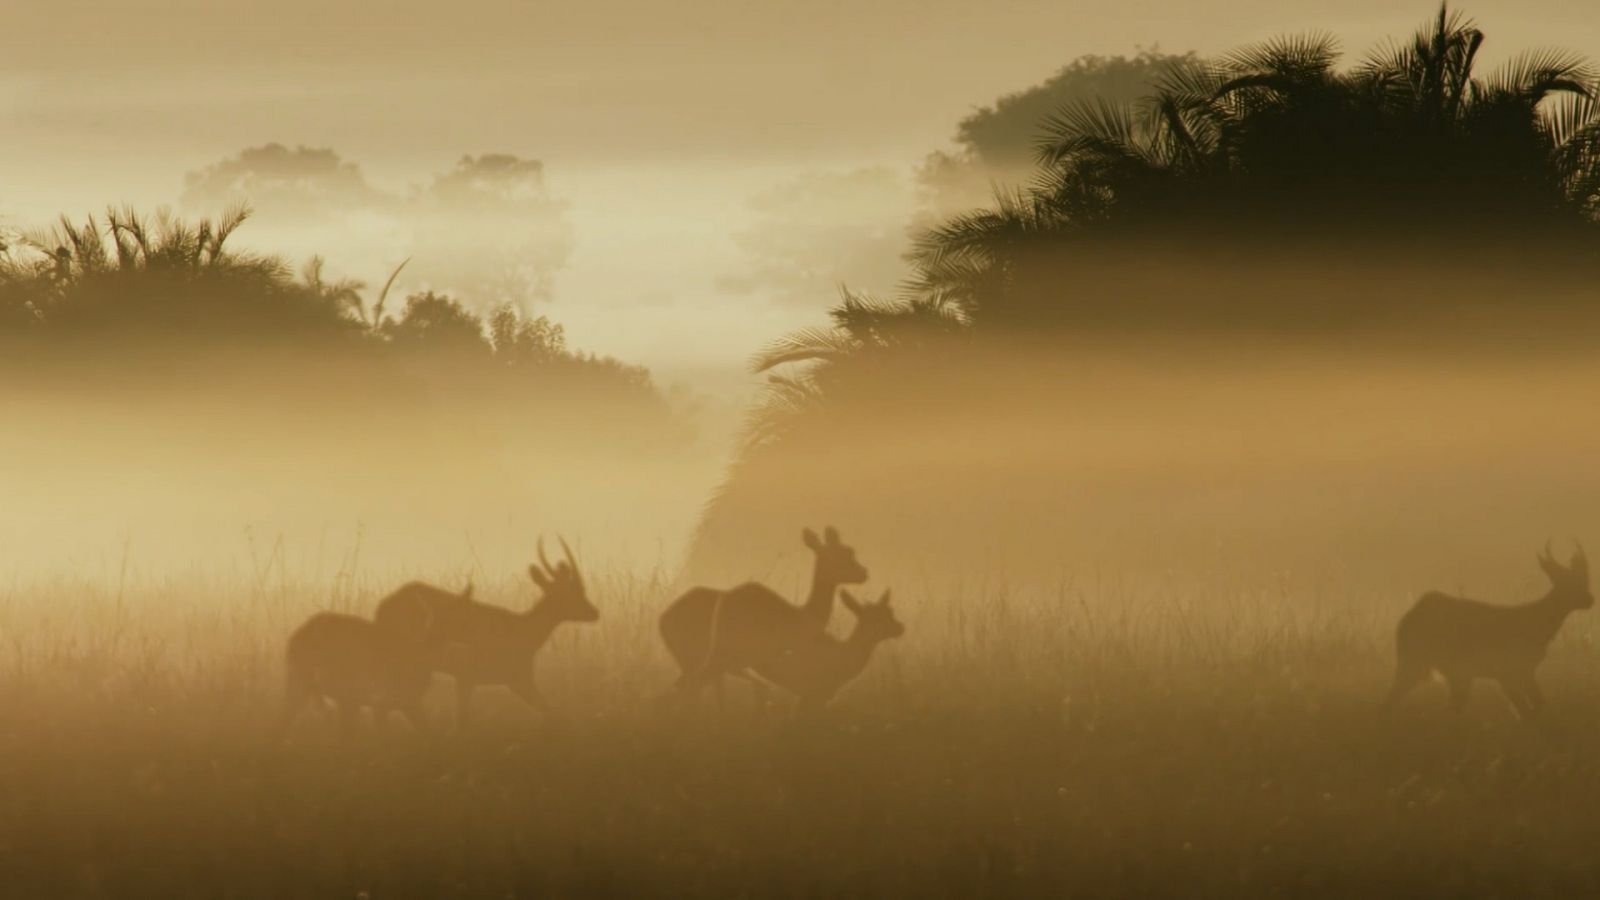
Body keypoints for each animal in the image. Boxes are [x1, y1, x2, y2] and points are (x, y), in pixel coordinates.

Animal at [659, 522, 870, 688]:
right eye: (842, 554)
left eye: (850, 550)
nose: (863, 573)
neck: (803, 615)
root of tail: (662, 620)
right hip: (716, 657)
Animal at [1382, 538, 1593, 714]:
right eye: (1566, 581)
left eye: (1583, 580)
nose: (1590, 599)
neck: (1537, 624)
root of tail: (1405, 620)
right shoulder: (1513, 670)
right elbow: (1531, 711)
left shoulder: (1518, 672)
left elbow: (1533, 708)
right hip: (1416, 661)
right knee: (1392, 699)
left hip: (1451, 672)